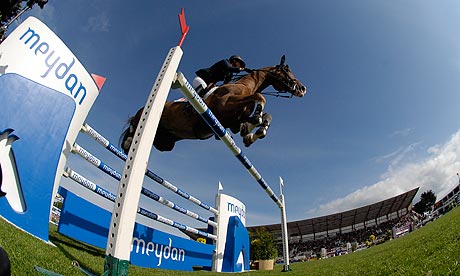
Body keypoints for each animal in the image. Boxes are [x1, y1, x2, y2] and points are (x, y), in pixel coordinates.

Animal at [120, 54, 308, 152]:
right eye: (287, 69)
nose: (302, 88)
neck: (245, 85)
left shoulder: (234, 122)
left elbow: (263, 117)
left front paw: (254, 132)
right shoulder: (225, 105)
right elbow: (261, 97)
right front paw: (256, 121)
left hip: (165, 142)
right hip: (146, 118)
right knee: (132, 132)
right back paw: (130, 139)